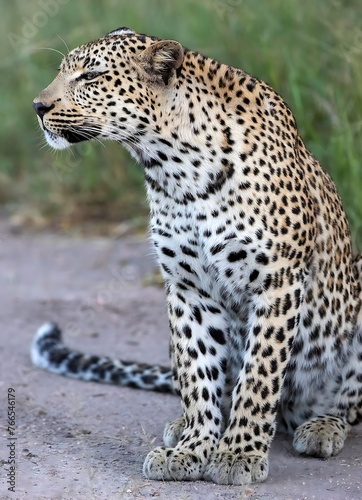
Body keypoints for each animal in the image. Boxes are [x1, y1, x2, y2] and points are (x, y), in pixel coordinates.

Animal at [31, 26, 362, 484]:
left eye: (91, 76)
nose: (38, 106)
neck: (173, 168)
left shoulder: (278, 281)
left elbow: (258, 375)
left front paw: (238, 454)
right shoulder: (188, 287)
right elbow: (197, 372)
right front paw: (192, 448)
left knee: (346, 405)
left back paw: (322, 426)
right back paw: (181, 426)